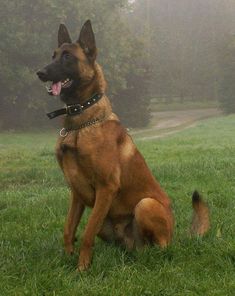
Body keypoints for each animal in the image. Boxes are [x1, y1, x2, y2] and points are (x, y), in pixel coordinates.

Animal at [36, 19, 209, 272]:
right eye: (53, 55)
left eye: (67, 57)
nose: (39, 73)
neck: (80, 124)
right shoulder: (76, 192)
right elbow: (68, 229)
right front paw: (67, 259)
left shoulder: (106, 188)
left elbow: (86, 234)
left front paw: (81, 269)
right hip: (108, 223)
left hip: (145, 205)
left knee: (161, 247)